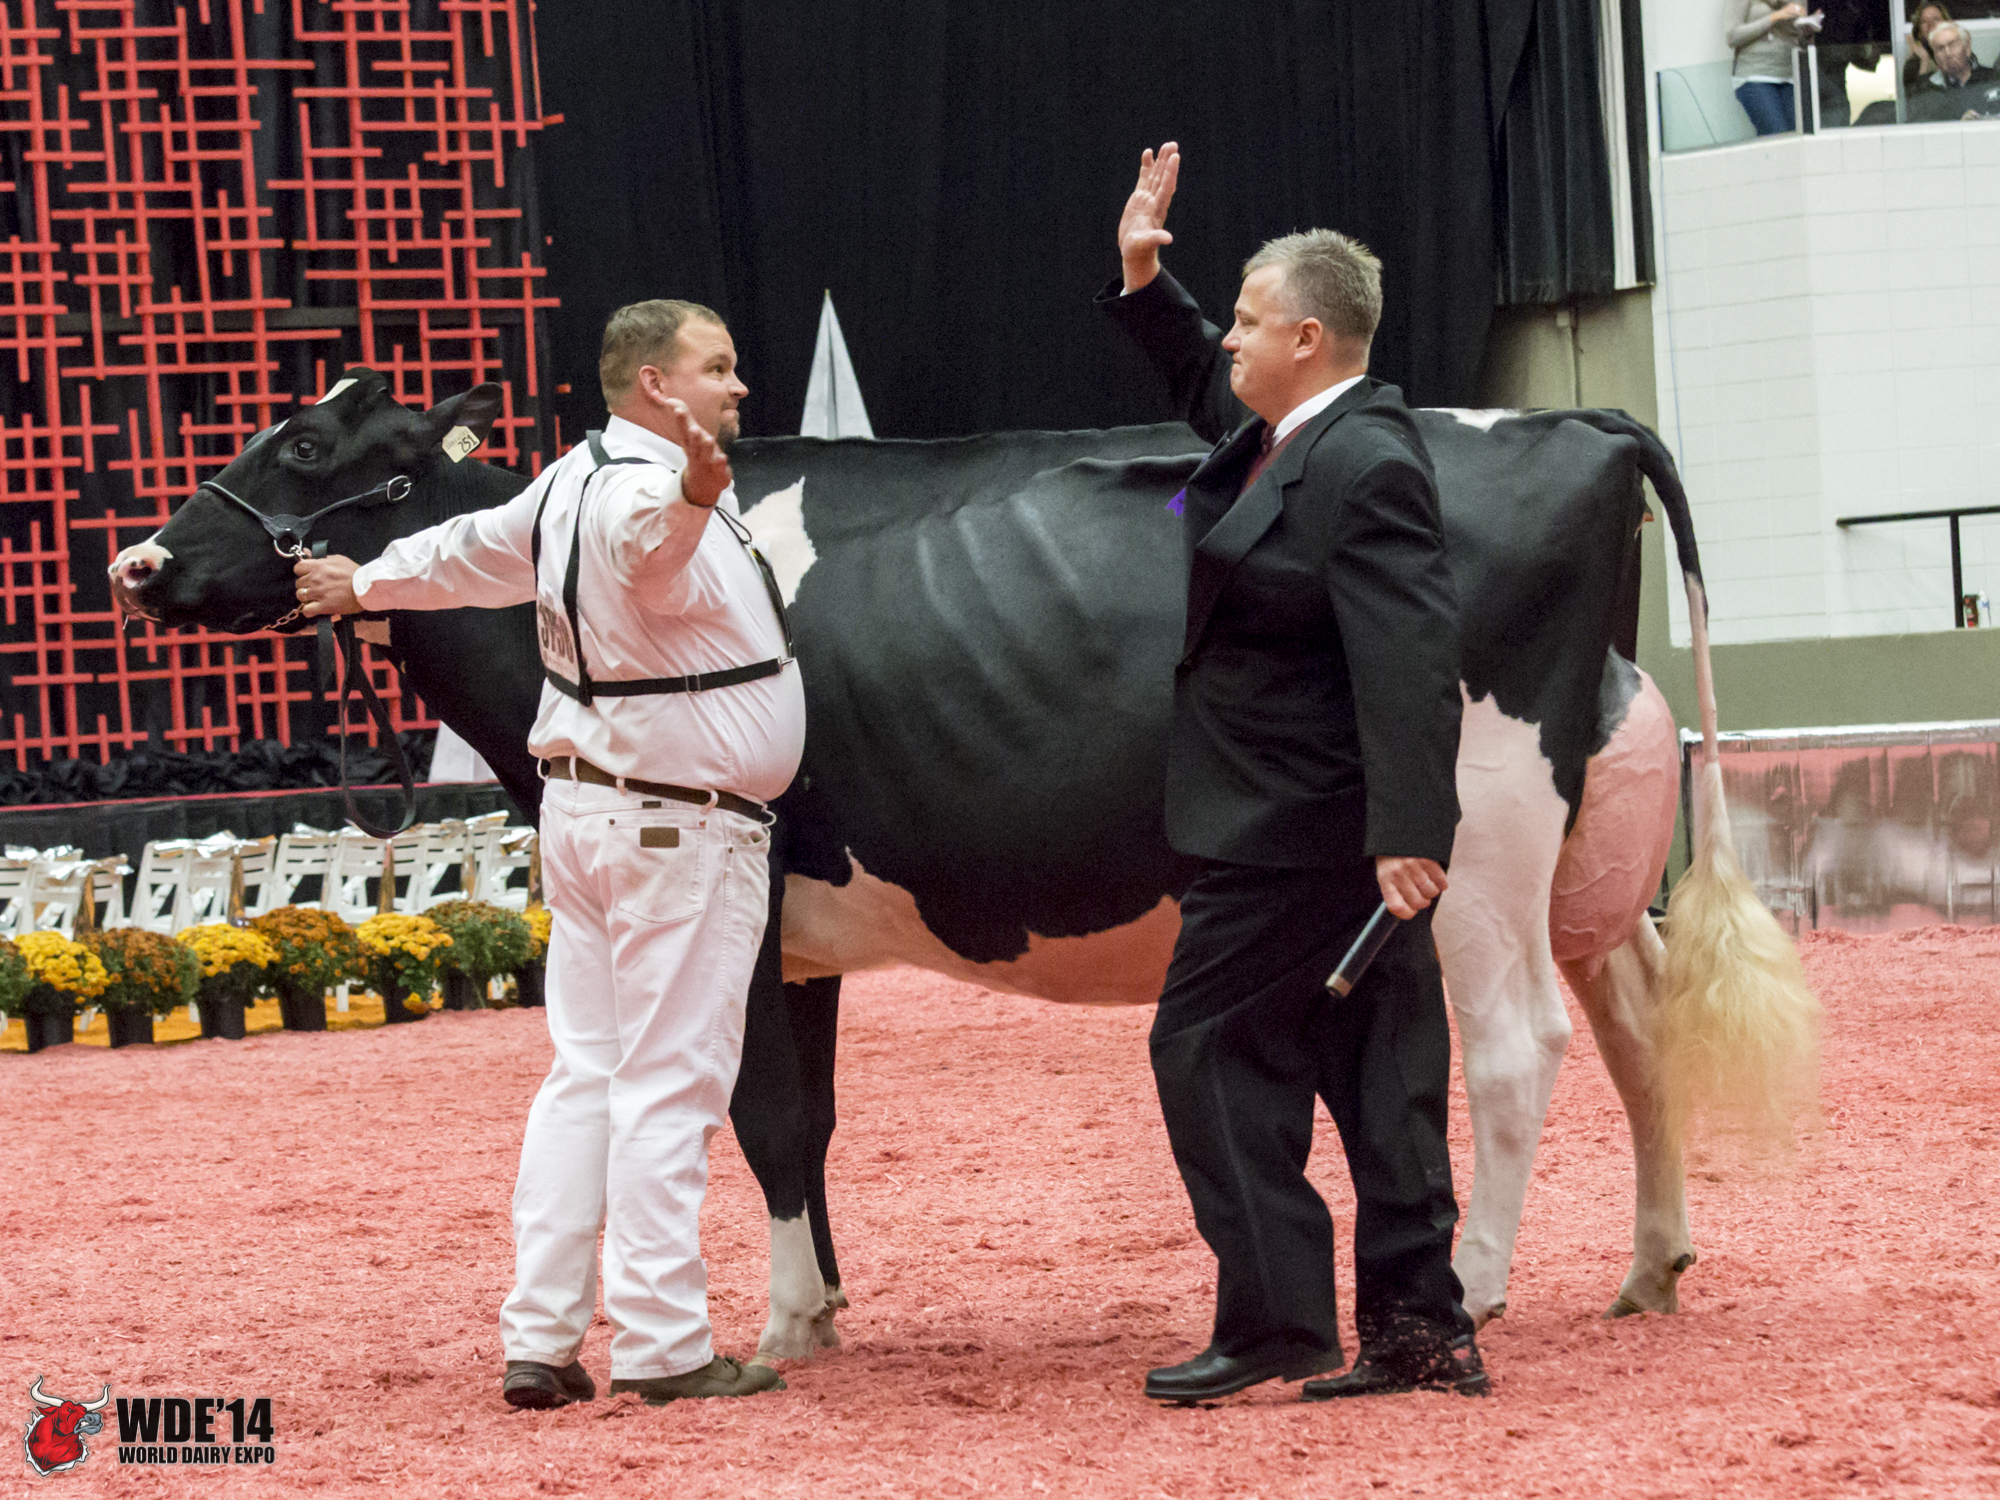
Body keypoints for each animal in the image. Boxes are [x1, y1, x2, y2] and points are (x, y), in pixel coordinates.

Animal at [109, 369, 1818, 1361]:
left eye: (309, 439)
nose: (139, 560)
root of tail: (1569, 418)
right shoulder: (796, 928)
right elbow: (800, 1122)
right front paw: (814, 1308)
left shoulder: (746, 895)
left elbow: (761, 1115)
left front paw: (775, 1331)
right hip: (1589, 850)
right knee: (1640, 1028)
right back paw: (1652, 1266)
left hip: (1480, 835)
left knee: (1521, 1049)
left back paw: (1478, 1283)